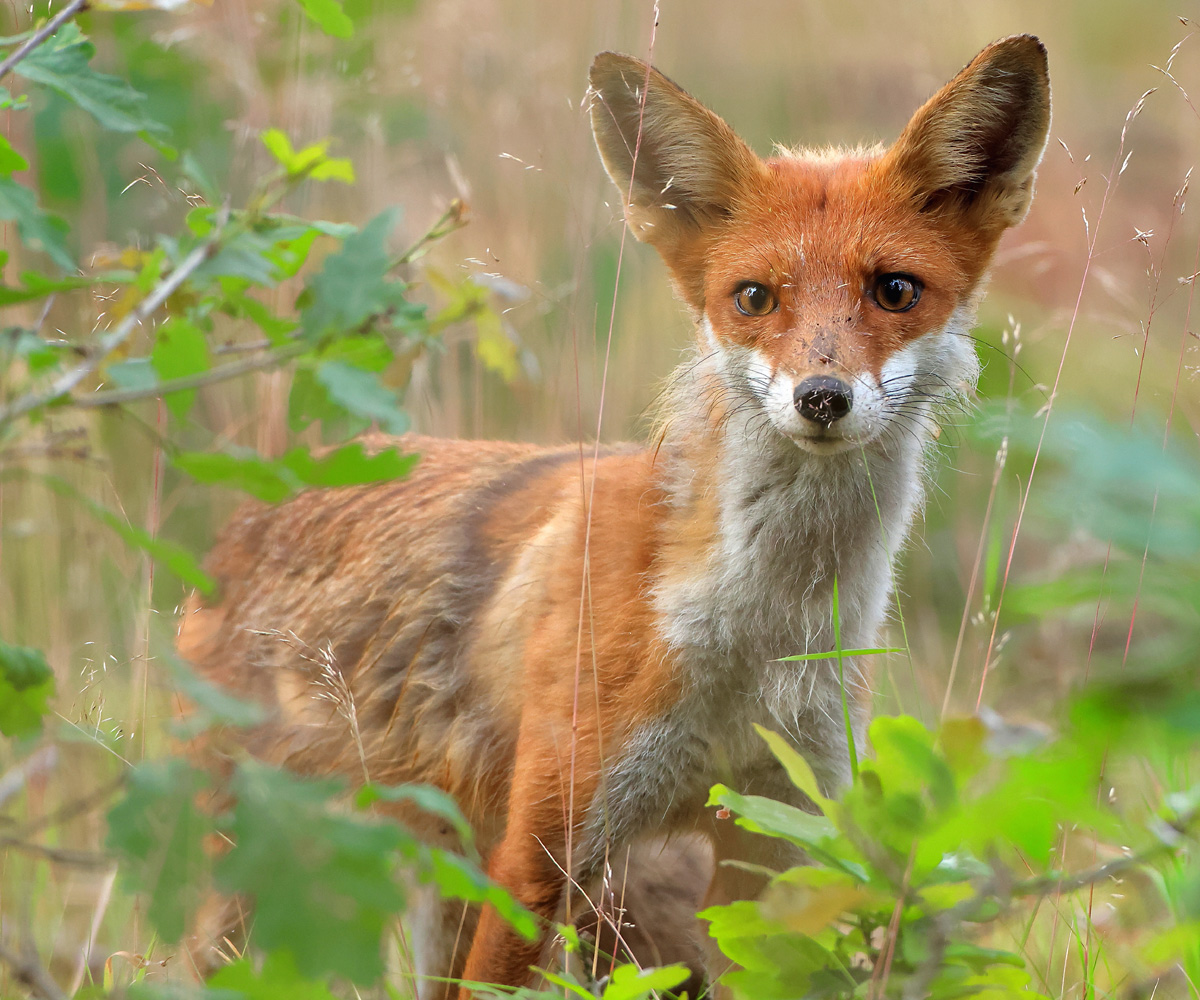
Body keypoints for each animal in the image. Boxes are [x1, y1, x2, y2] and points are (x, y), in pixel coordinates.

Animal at [177, 37, 1051, 989]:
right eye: (754, 297)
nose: (822, 397)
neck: (753, 638)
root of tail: (255, 508)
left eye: (895, 289)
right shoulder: (542, 850)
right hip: (257, 872)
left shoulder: (775, 838)